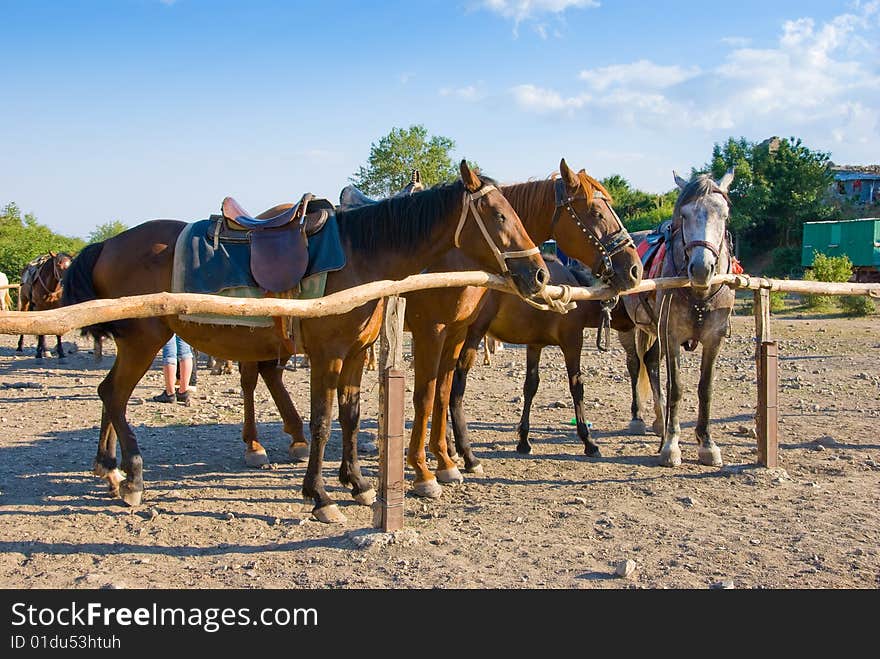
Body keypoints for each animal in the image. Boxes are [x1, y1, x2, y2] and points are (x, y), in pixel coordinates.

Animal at [62, 162, 548, 524]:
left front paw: (358, 484)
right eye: (499, 216)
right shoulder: (329, 354)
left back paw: (109, 470)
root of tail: (107, 244)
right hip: (144, 339)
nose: (540, 274)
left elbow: (351, 416)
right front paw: (321, 496)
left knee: (110, 393)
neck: (360, 257)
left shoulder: (357, 353)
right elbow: (323, 421)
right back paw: (133, 478)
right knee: (115, 394)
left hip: (141, 341)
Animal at [400, 160, 640, 498]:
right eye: (595, 211)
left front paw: (452, 454)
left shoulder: (462, 332)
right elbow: (449, 390)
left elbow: (451, 391)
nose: (634, 269)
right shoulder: (445, 331)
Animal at [620, 170, 736, 470]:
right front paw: (671, 446)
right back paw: (638, 418)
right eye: (684, 215)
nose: (701, 268)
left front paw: (707, 443)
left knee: (650, 361)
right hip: (629, 328)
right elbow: (677, 388)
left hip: (653, 329)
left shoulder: (714, 339)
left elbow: (705, 388)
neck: (699, 294)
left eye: (724, 214)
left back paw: (659, 421)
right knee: (635, 363)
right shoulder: (672, 336)